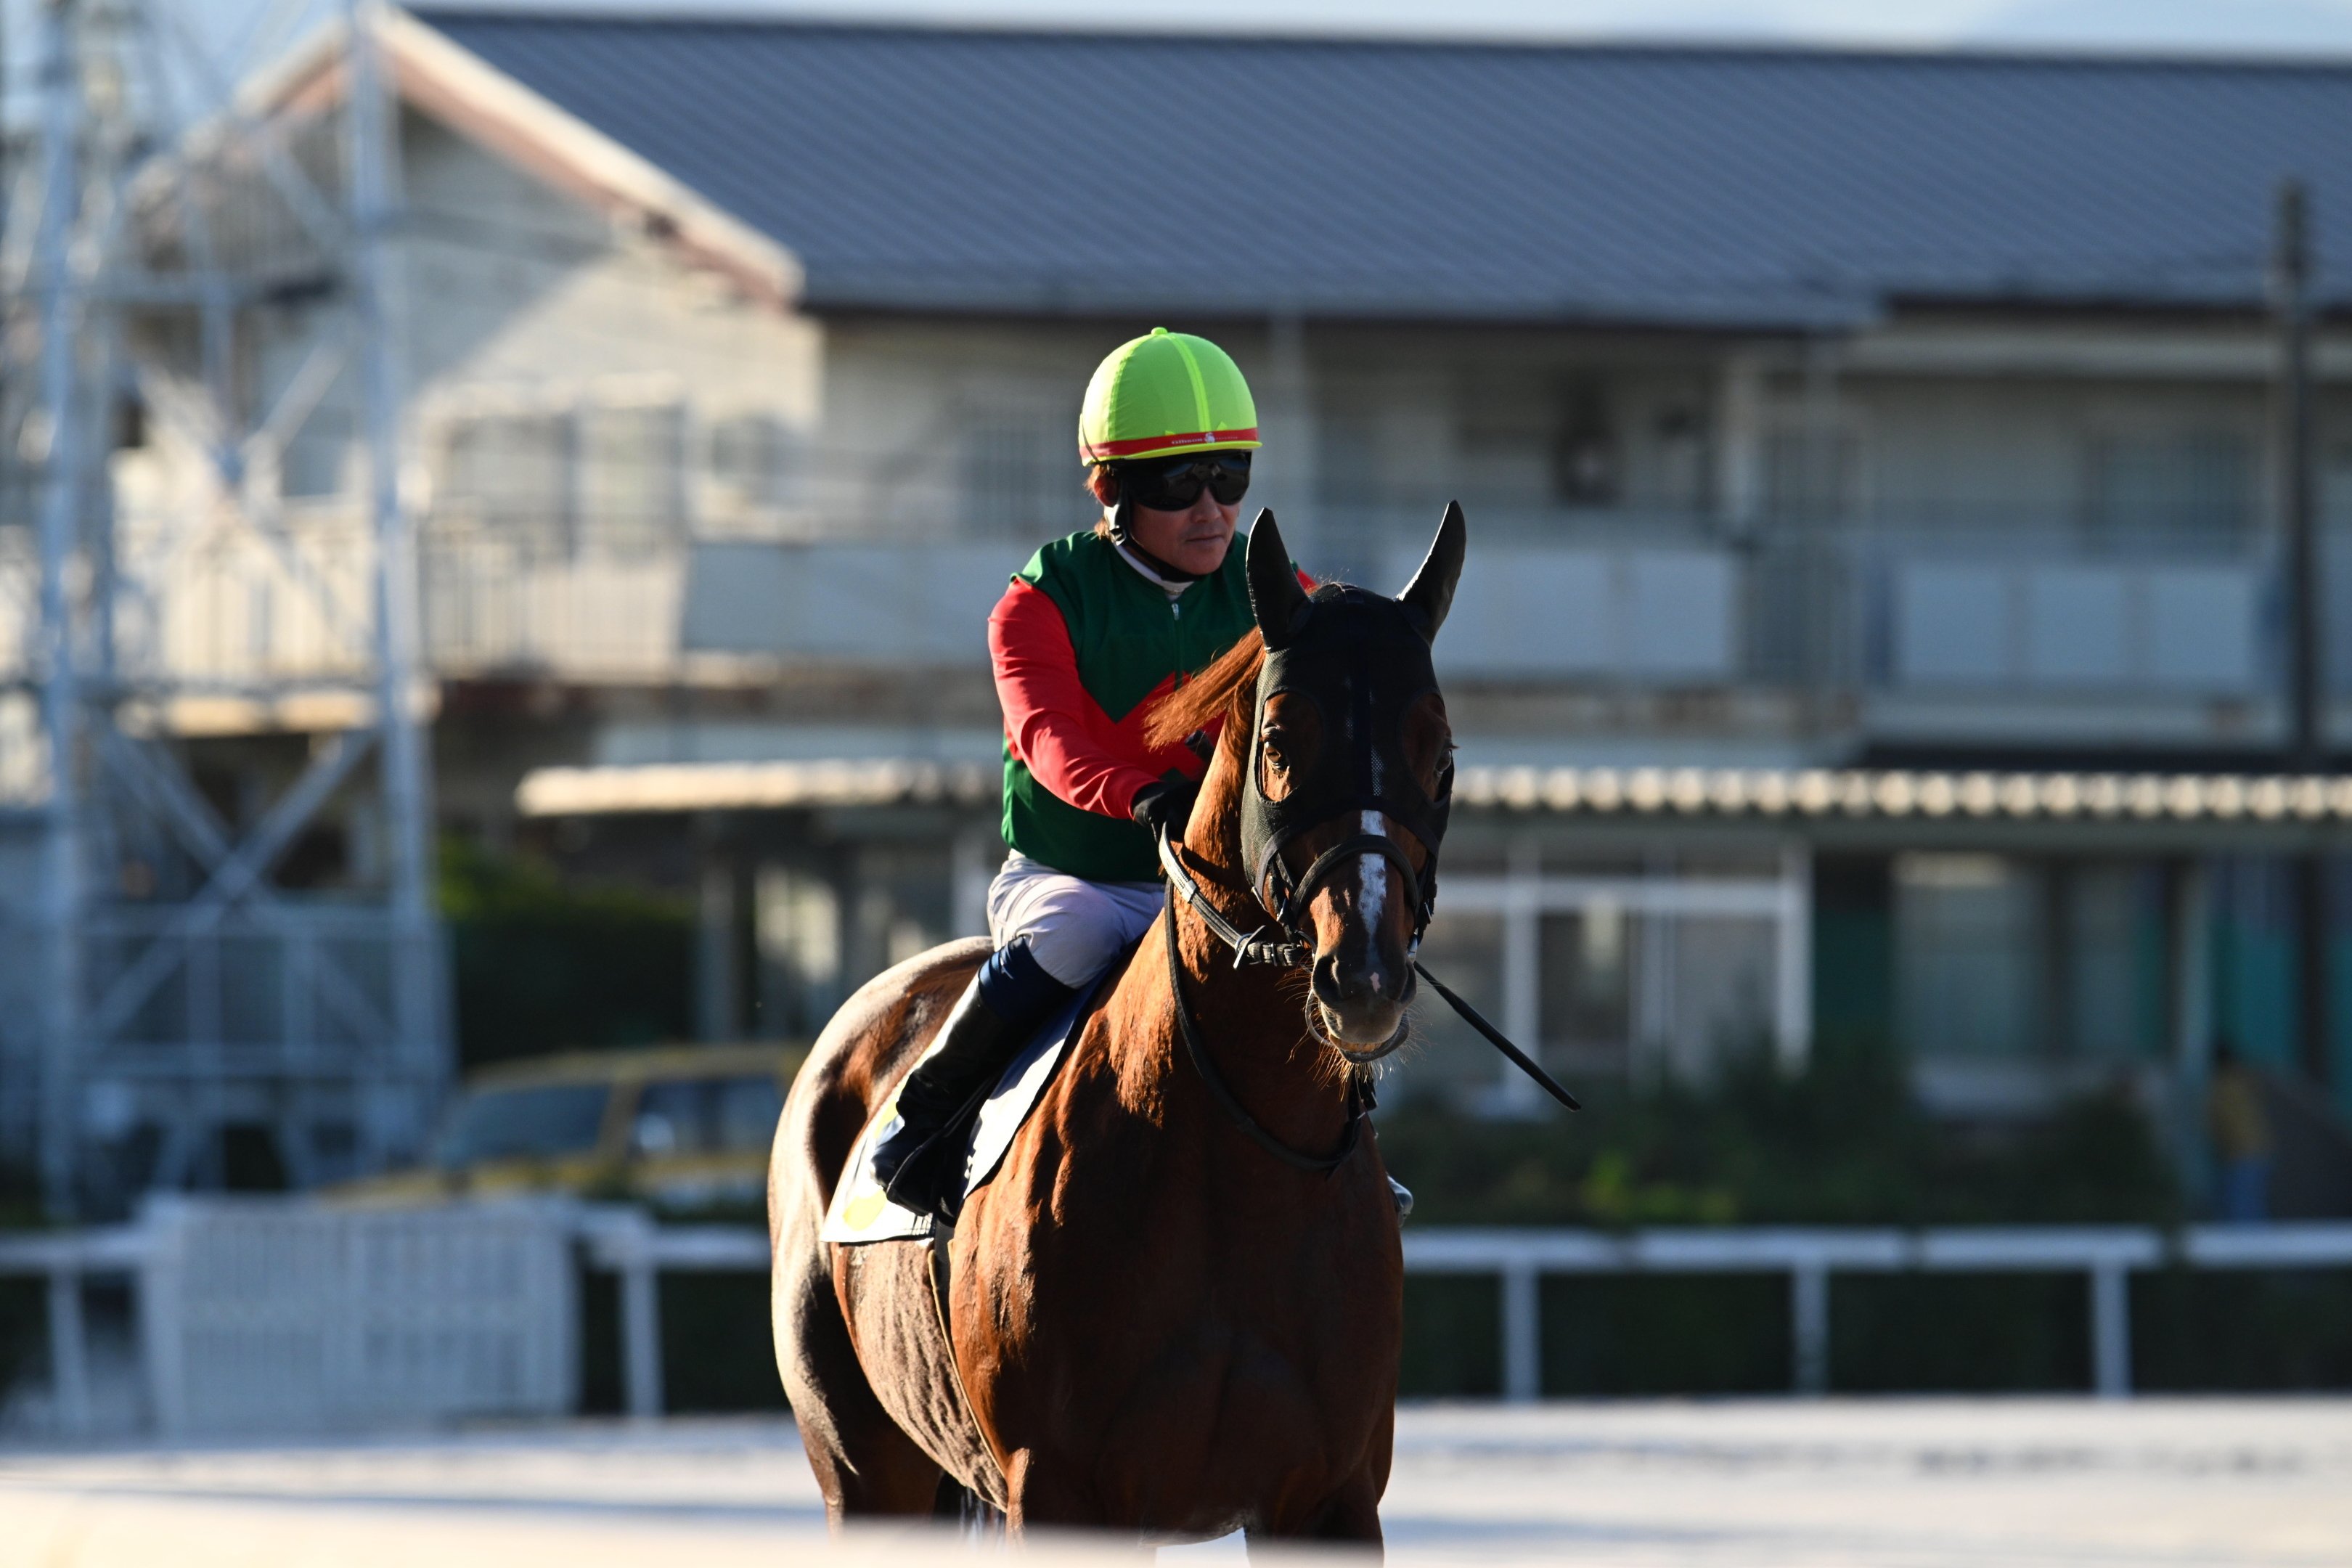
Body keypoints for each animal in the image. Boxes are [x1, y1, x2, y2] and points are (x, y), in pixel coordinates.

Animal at [769, 504, 1465, 1552]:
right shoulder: (1058, 1490)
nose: (1366, 979)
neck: (1235, 1154)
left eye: (1440, 750)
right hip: (864, 1473)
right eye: (1278, 741)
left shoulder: (1331, 1501)